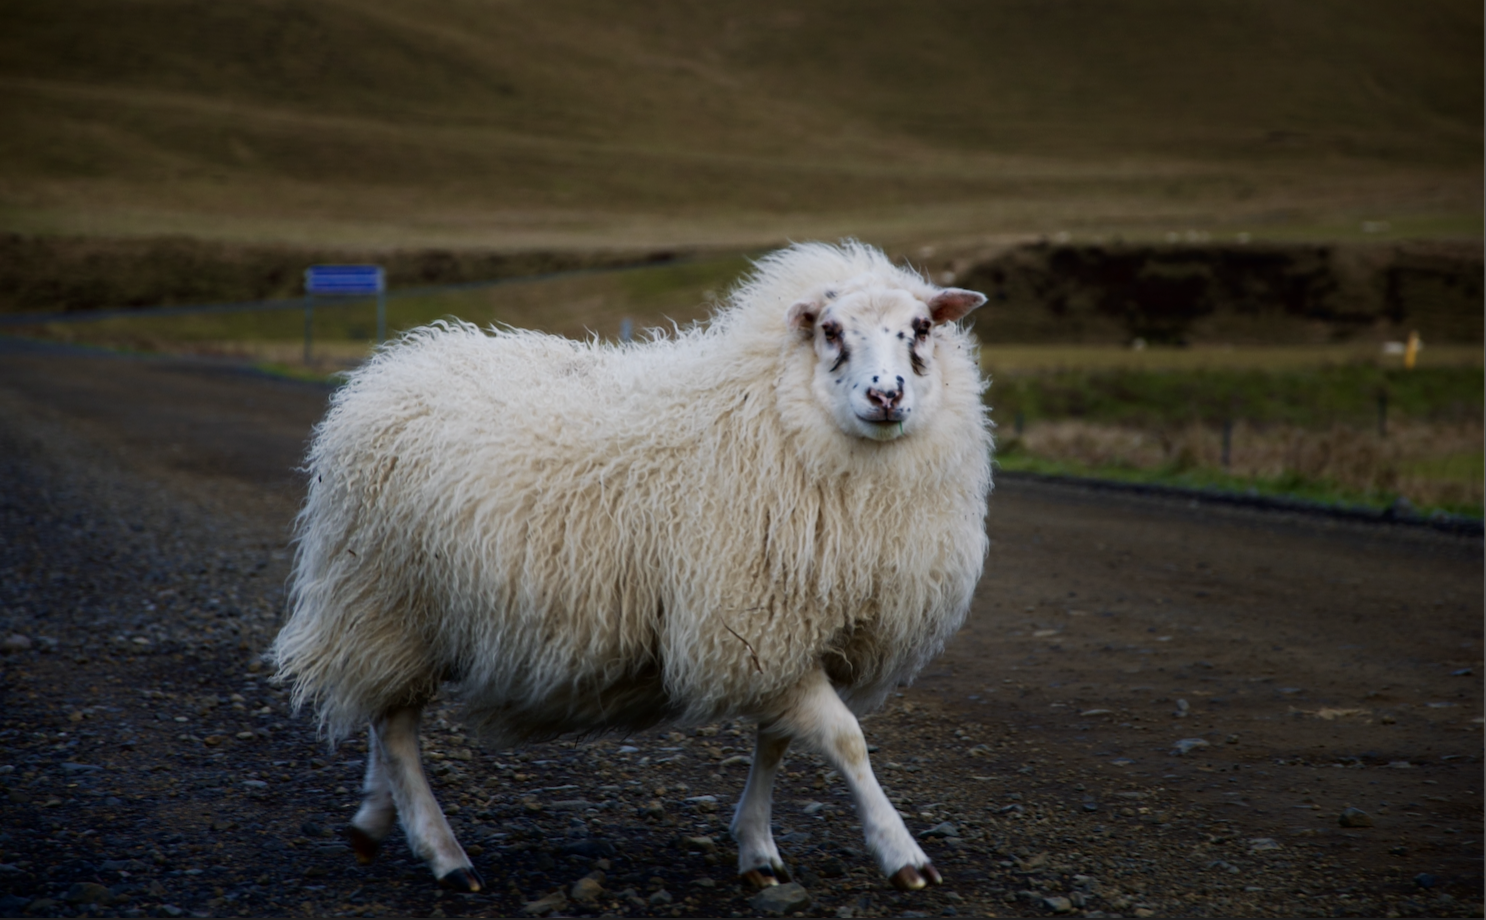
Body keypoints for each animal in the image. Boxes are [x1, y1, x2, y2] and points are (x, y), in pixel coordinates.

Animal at [270, 240, 993, 894]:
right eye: (832, 331)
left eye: (921, 328)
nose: (886, 395)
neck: (774, 414)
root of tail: (391, 366)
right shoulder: (753, 622)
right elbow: (846, 741)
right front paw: (902, 854)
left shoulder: (776, 637)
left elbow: (775, 740)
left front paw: (758, 848)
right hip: (386, 595)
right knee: (394, 727)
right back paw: (445, 854)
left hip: (394, 612)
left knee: (379, 705)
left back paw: (373, 820)